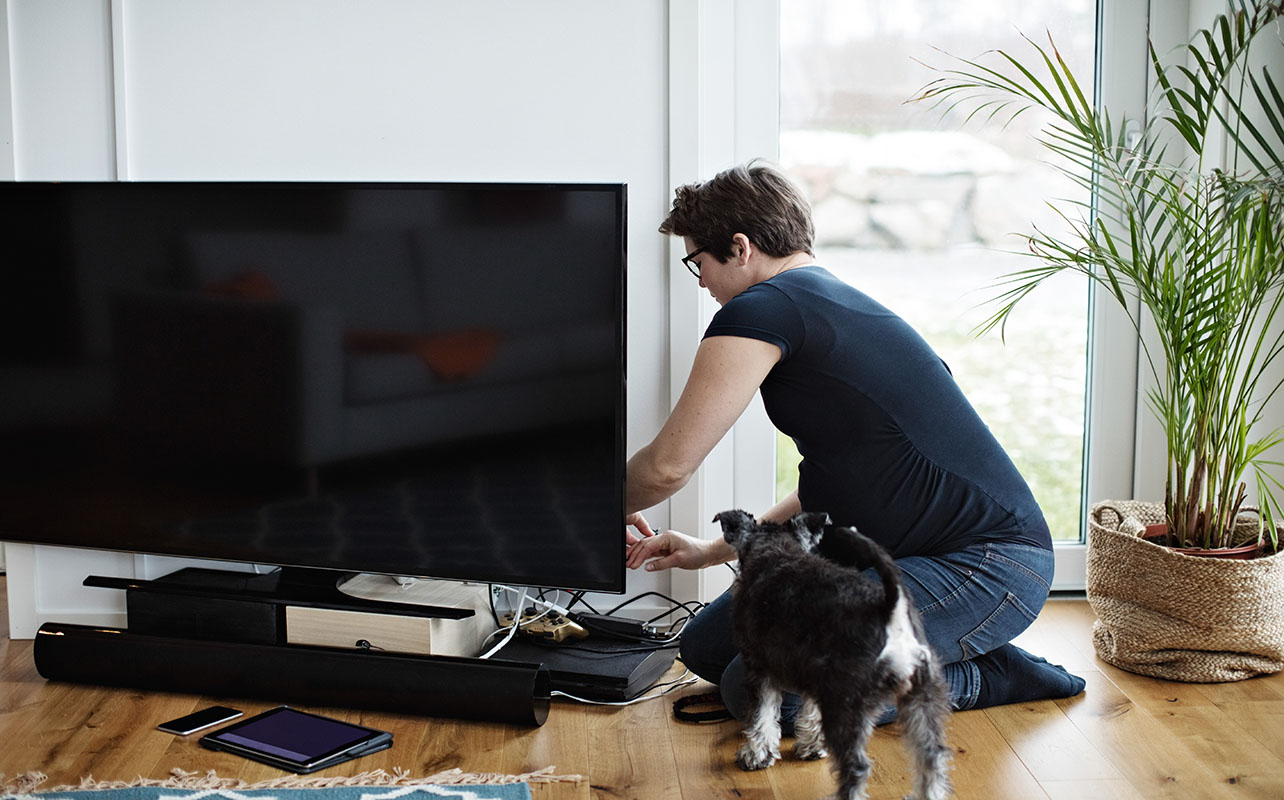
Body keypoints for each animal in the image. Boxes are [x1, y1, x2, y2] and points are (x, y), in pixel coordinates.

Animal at [719, 511, 950, 800]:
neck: (776, 551)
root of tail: (890, 610)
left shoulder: (759, 669)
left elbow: (762, 717)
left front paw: (756, 754)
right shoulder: (813, 676)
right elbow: (810, 712)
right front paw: (811, 747)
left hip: (845, 706)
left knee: (857, 768)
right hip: (921, 699)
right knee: (932, 758)